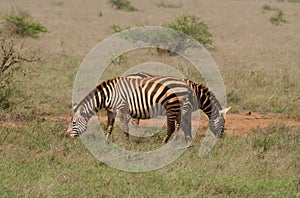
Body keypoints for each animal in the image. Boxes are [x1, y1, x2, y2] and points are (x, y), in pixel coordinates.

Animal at [66, 76, 195, 144]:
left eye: (73, 123)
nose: (66, 135)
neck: (107, 95)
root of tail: (186, 84)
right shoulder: (110, 111)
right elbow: (110, 126)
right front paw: (106, 141)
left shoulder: (121, 108)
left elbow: (124, 127)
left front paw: (127, 143)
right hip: (178, 108)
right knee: (182, 124)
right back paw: (181, 142)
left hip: (172, 107)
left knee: (174, 126)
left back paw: (165, 143)